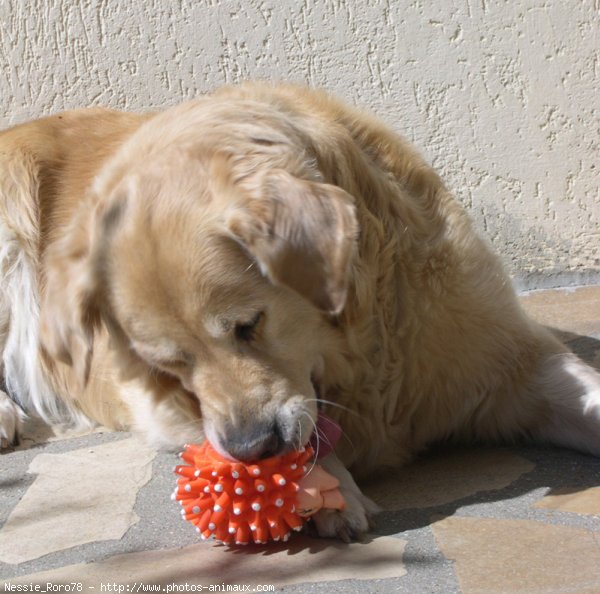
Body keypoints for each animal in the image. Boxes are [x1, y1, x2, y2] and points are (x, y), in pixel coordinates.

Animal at [1, 84, 600, 540]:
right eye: (172, 366)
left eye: (250, 325)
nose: (252, 448)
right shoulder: (161, 404)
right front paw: (326, 489)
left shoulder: (509, 358)